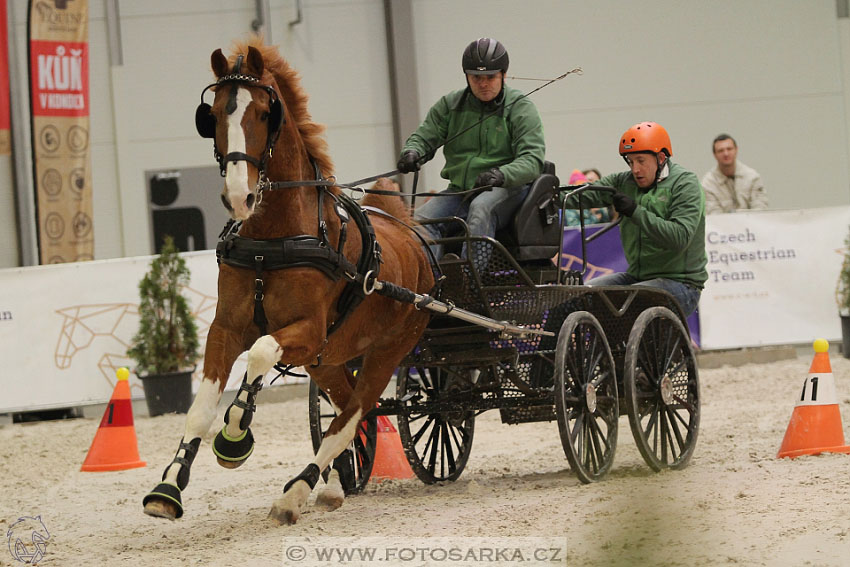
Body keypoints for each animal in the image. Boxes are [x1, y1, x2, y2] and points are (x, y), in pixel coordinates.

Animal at [142, 40, 430, 524]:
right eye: (212, 115)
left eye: (263, 113)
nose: (238, 196)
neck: (272, 242)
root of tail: (411, 234)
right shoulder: (226, 328)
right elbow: (200, 409)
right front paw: (167, 488)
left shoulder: (307, 331)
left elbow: (259, 355)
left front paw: (235, 437)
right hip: (326, 359)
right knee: (344, 408)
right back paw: (331, 486)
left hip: (386, 353)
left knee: (353, 414)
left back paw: (295, 493)